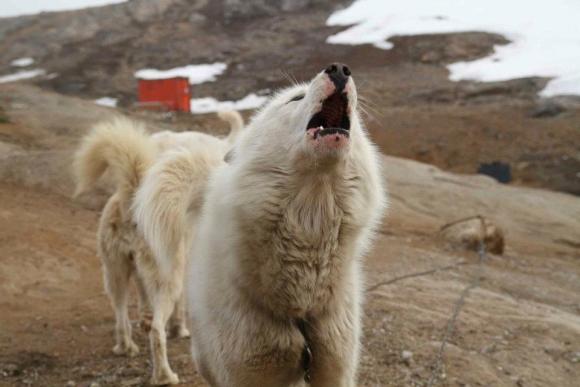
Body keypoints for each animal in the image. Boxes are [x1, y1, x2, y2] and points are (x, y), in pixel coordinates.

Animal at [73, 111, 242, 384]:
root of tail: (131, 200)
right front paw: (180, 329)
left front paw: (148, 318)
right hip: (167, 281)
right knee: (156, 332)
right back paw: (165, 375)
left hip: (115, 274)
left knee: (121, 316)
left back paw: (126, 347)